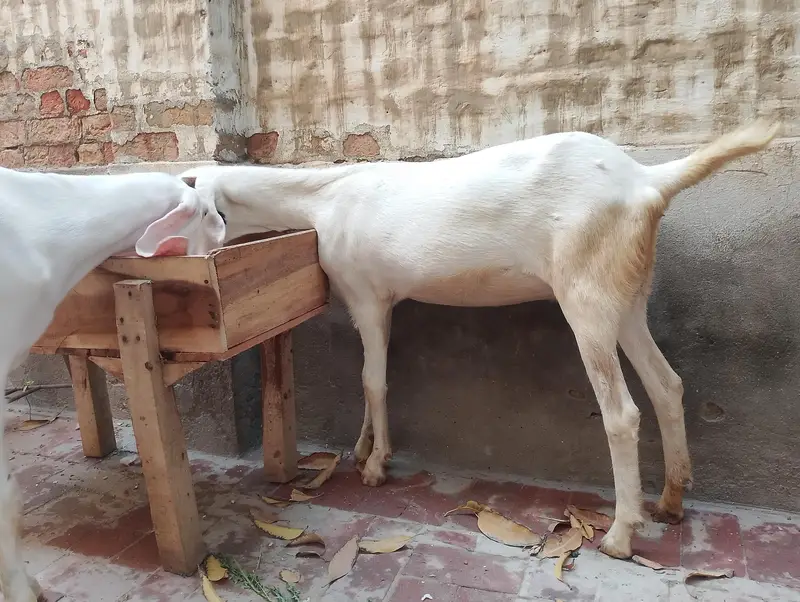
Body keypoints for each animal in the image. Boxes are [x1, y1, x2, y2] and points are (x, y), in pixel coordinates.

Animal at [181, 120, 779, 559]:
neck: (325, 197)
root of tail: (647, 180)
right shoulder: (382, 301)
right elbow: (372, 378)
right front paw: (363, 447)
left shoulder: (367, 295)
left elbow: (373, 381)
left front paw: (375, 467)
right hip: (626, 295)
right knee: (667, 385)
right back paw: (671, 501)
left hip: (585, 293)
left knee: (622, 413)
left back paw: (619, 535)